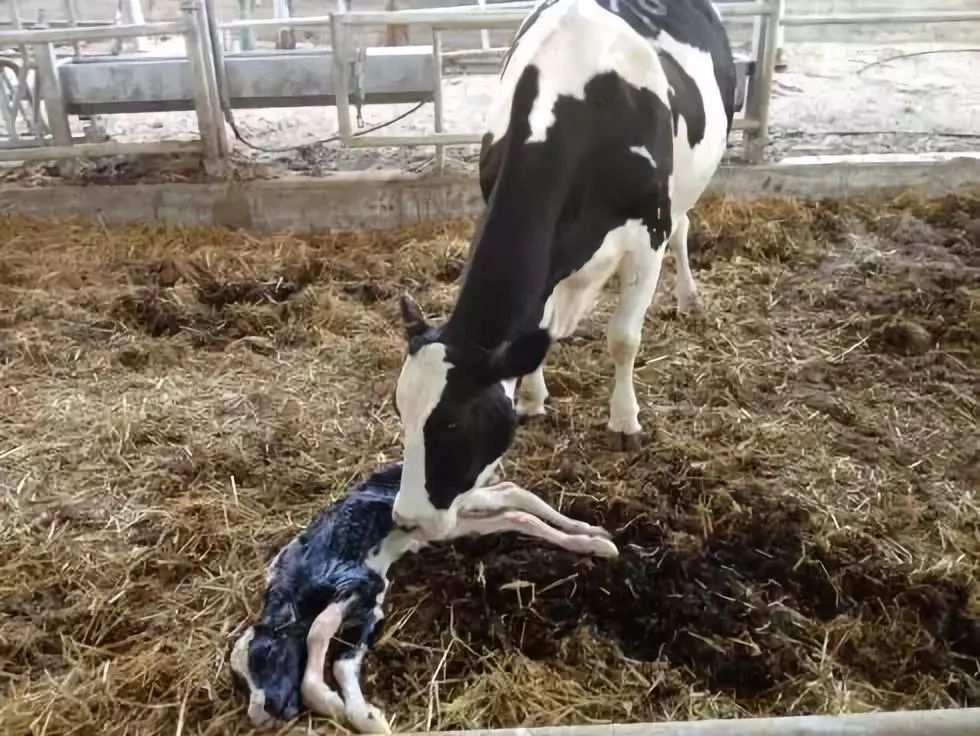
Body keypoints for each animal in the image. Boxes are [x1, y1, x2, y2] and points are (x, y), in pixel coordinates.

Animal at [390, 0, 736, 536]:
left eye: (451, 424)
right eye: (400, 410)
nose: (408, 519)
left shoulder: (647, 237)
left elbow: (624, 339)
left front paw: (624, 422)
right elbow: (538, 331)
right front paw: (533, 398)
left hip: (690, 181)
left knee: (683, 226)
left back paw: (688, 298)